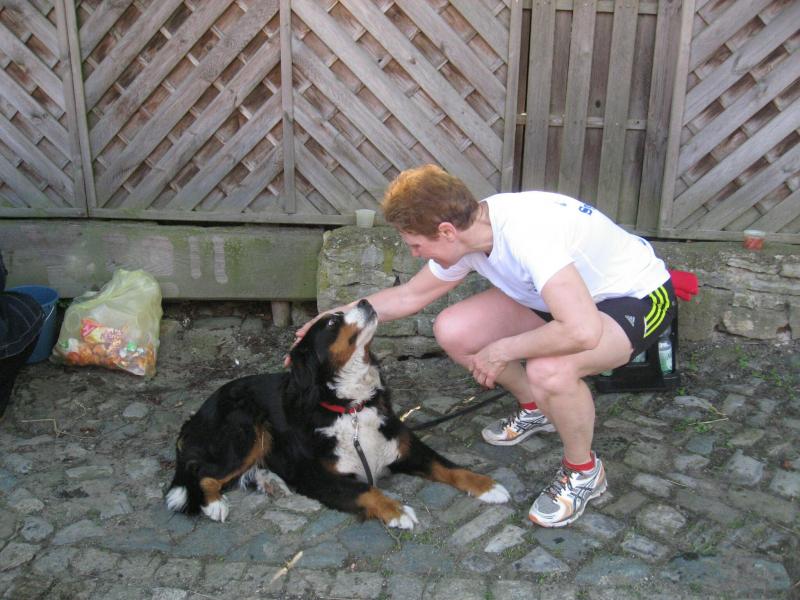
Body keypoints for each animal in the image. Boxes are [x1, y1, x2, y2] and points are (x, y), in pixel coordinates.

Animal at [165, 299, 509, 528]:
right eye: (331, 323)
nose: (366, 300)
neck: (353, 406)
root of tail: (196, 415)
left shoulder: (405, 445)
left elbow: (450, 466)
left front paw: (487, 486)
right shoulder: (321, 477)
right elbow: (367, 490)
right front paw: (397, 511)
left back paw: (270, 482)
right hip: (245, 426)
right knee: (203, 472)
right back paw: (214, 505)